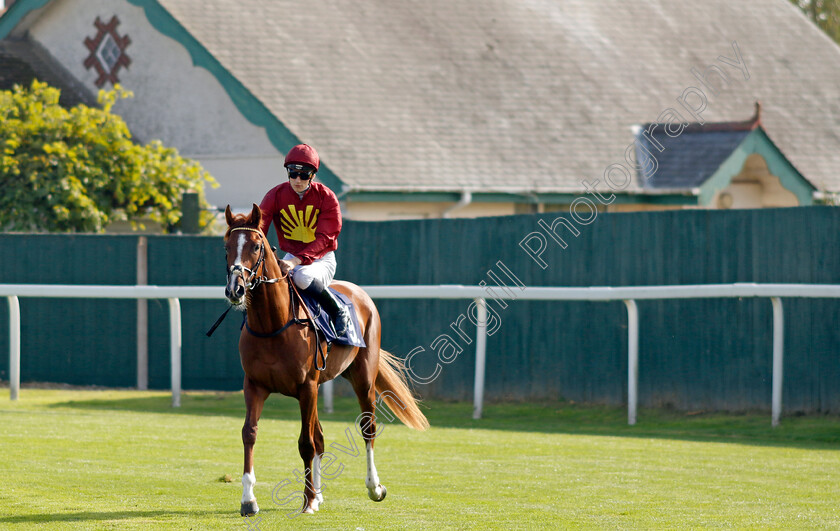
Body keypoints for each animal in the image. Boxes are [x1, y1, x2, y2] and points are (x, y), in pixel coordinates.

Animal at [223, 206, 426, 516]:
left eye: (256, 246)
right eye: (226, 247)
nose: (235, 290)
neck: (274, 324)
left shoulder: (306, 386)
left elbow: (306, 443)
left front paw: (307, 500)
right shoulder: (255, 385)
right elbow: (250, 433)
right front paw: (248, 500)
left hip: (362, 377)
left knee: (367, 428)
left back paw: (373, 487)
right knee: (319, 435)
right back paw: (319, 494)